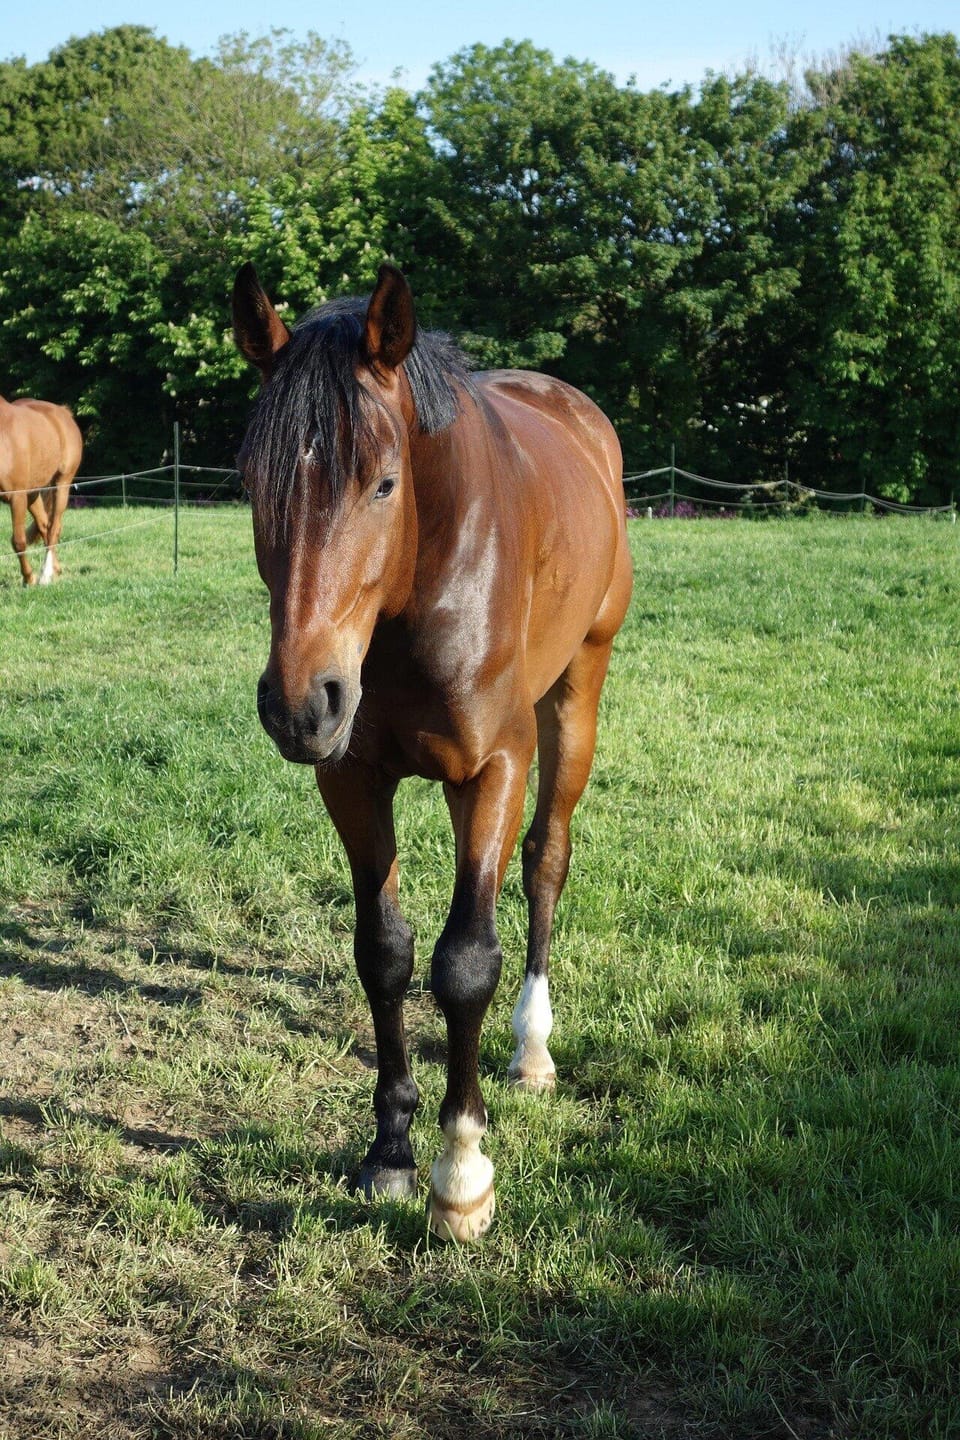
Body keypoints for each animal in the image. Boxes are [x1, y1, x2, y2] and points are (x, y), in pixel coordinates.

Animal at [0, 395, 83, 585]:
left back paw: (45, 574)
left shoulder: (16, 497)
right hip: (32, 493)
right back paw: (55, 570)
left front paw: (29, 579)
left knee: (54, 528)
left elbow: (18, 541)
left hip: (61, 484)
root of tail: (63, 412)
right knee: (45, 525)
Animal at [232, 261, 633, 1241]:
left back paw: (532, 1049)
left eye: (383, 484)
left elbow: (465, 962)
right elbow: (385, 951)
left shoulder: (494, 768)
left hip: (578, 691)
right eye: (250, 480)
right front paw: (390, 1151)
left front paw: (462, 1175)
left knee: (546, 860)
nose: (298, 705)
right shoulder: (351, 778)